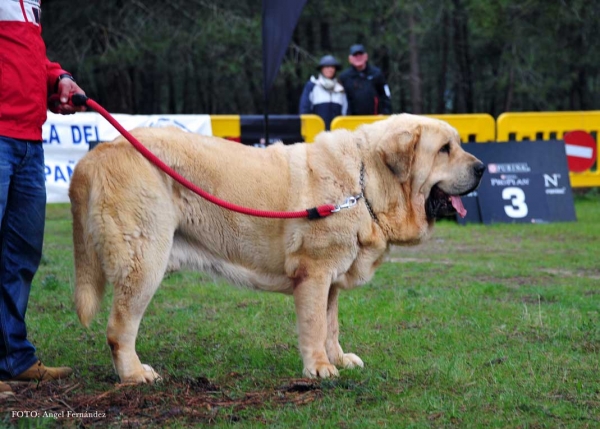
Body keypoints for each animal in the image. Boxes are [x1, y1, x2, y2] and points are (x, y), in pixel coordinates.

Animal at [69, 113, 482, 382]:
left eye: (458, 144)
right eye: (445, 149)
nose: (481, 168)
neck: (363, 183)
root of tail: (97, 152)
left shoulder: (331, 278)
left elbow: (331, 324)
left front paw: (338, 358)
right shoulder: (314, 274)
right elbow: (315, 325)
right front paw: (319, 368)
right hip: (144, 262)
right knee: (120, 328)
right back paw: (135, 374)